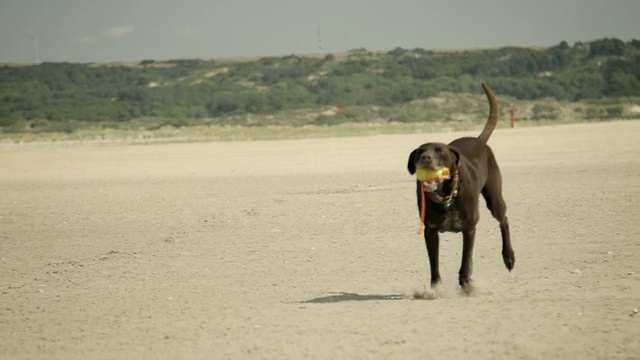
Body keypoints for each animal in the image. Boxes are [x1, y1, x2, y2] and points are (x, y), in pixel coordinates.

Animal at [410, 82, 516, 290]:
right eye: (420, 152)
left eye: (440, 151)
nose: (425, 158)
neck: (446, 197)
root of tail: (479, 140)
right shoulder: (430, 231)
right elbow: (434, 264)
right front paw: (435, 288)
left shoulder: (469, 228)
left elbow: (466, 259)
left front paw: (466, 283)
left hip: (494, 198)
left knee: (504, 220)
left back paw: (509, 257)